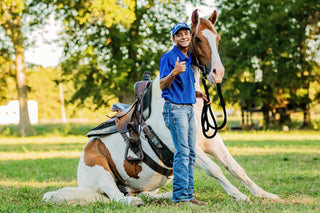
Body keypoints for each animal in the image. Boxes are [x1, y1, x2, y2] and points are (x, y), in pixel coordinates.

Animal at [42, 9, 280, 206]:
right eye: (198, 38)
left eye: (217, 38)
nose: (217, 73)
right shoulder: (184, 144)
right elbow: (215, 170)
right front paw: (239, 195)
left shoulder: (212, 142)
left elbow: (236, 168)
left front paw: (264, 194)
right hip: (100, 170)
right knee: (115, 196)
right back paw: (134, 201)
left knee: (143, 194)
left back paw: (168, 196)